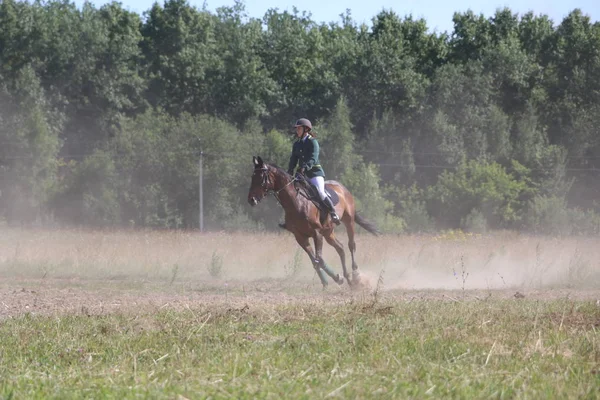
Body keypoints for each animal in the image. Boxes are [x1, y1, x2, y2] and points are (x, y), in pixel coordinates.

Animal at [247, 155, 380, 288]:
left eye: (261, 178)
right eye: (252, 177)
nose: (251, 200)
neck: (297, 202)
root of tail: (342, 188)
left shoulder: (317, 233)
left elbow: (319, 259)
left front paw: (336, 278)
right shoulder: (300, 237)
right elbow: (314, 261)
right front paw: (329, 281)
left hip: (348, 221)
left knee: (351, 245)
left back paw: (356, 275)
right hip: (328, 232)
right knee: (340, 248)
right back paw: (349, 279)